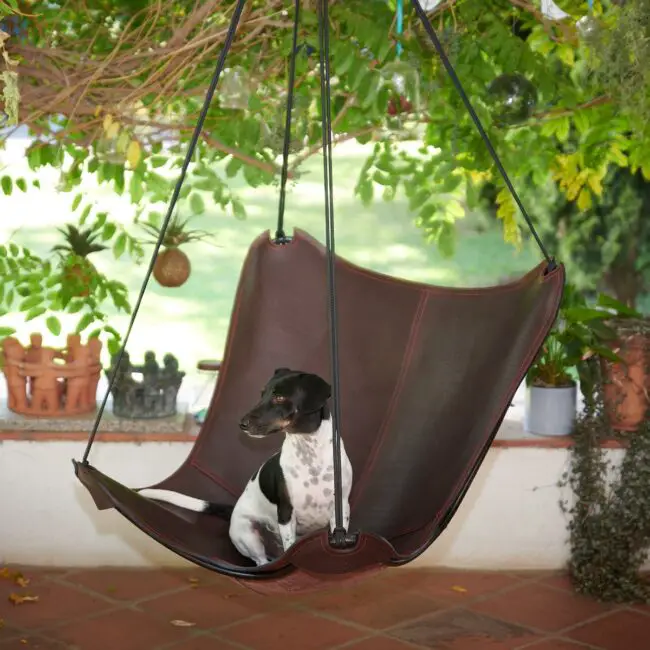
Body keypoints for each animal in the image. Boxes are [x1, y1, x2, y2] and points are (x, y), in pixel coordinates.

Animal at [135, 368, 350, 564]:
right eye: (262, 394)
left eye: (280, 397)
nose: (242, 424)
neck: (310, 454)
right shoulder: (286, 513)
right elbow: (289, 546)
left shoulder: (341, 510)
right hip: (249, 534)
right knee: (261, 560)